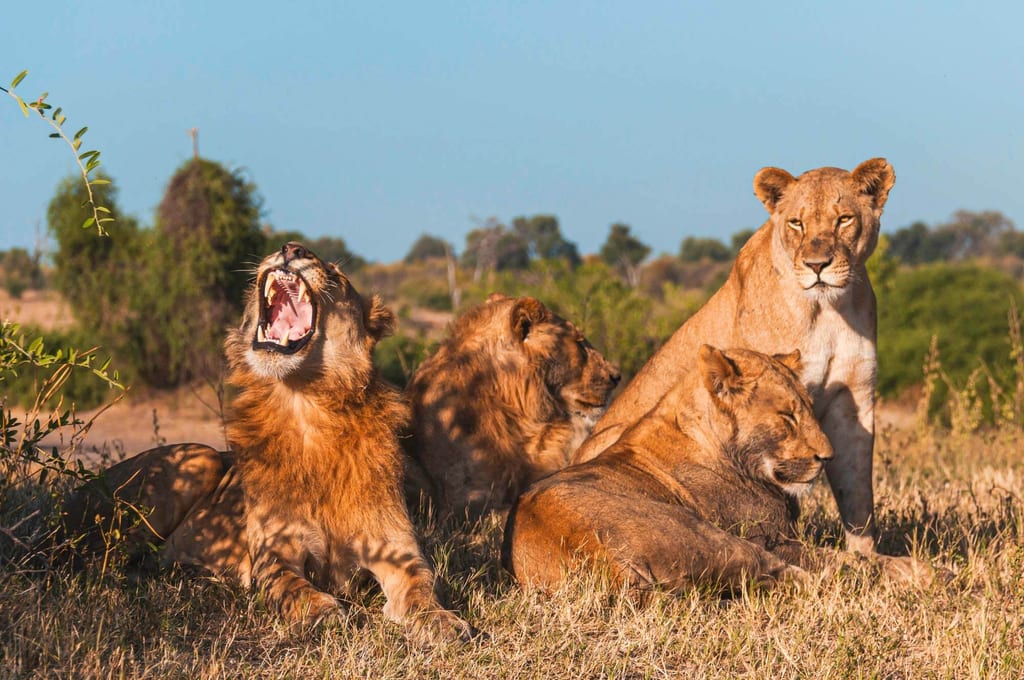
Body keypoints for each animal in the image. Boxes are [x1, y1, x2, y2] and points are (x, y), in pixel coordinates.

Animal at [573, 159, 895, 555]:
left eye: (844, 219)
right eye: (797, 223)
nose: (817, 265)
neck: (827, 310)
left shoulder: (854, 401)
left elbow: (858, 496)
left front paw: (865, 556)